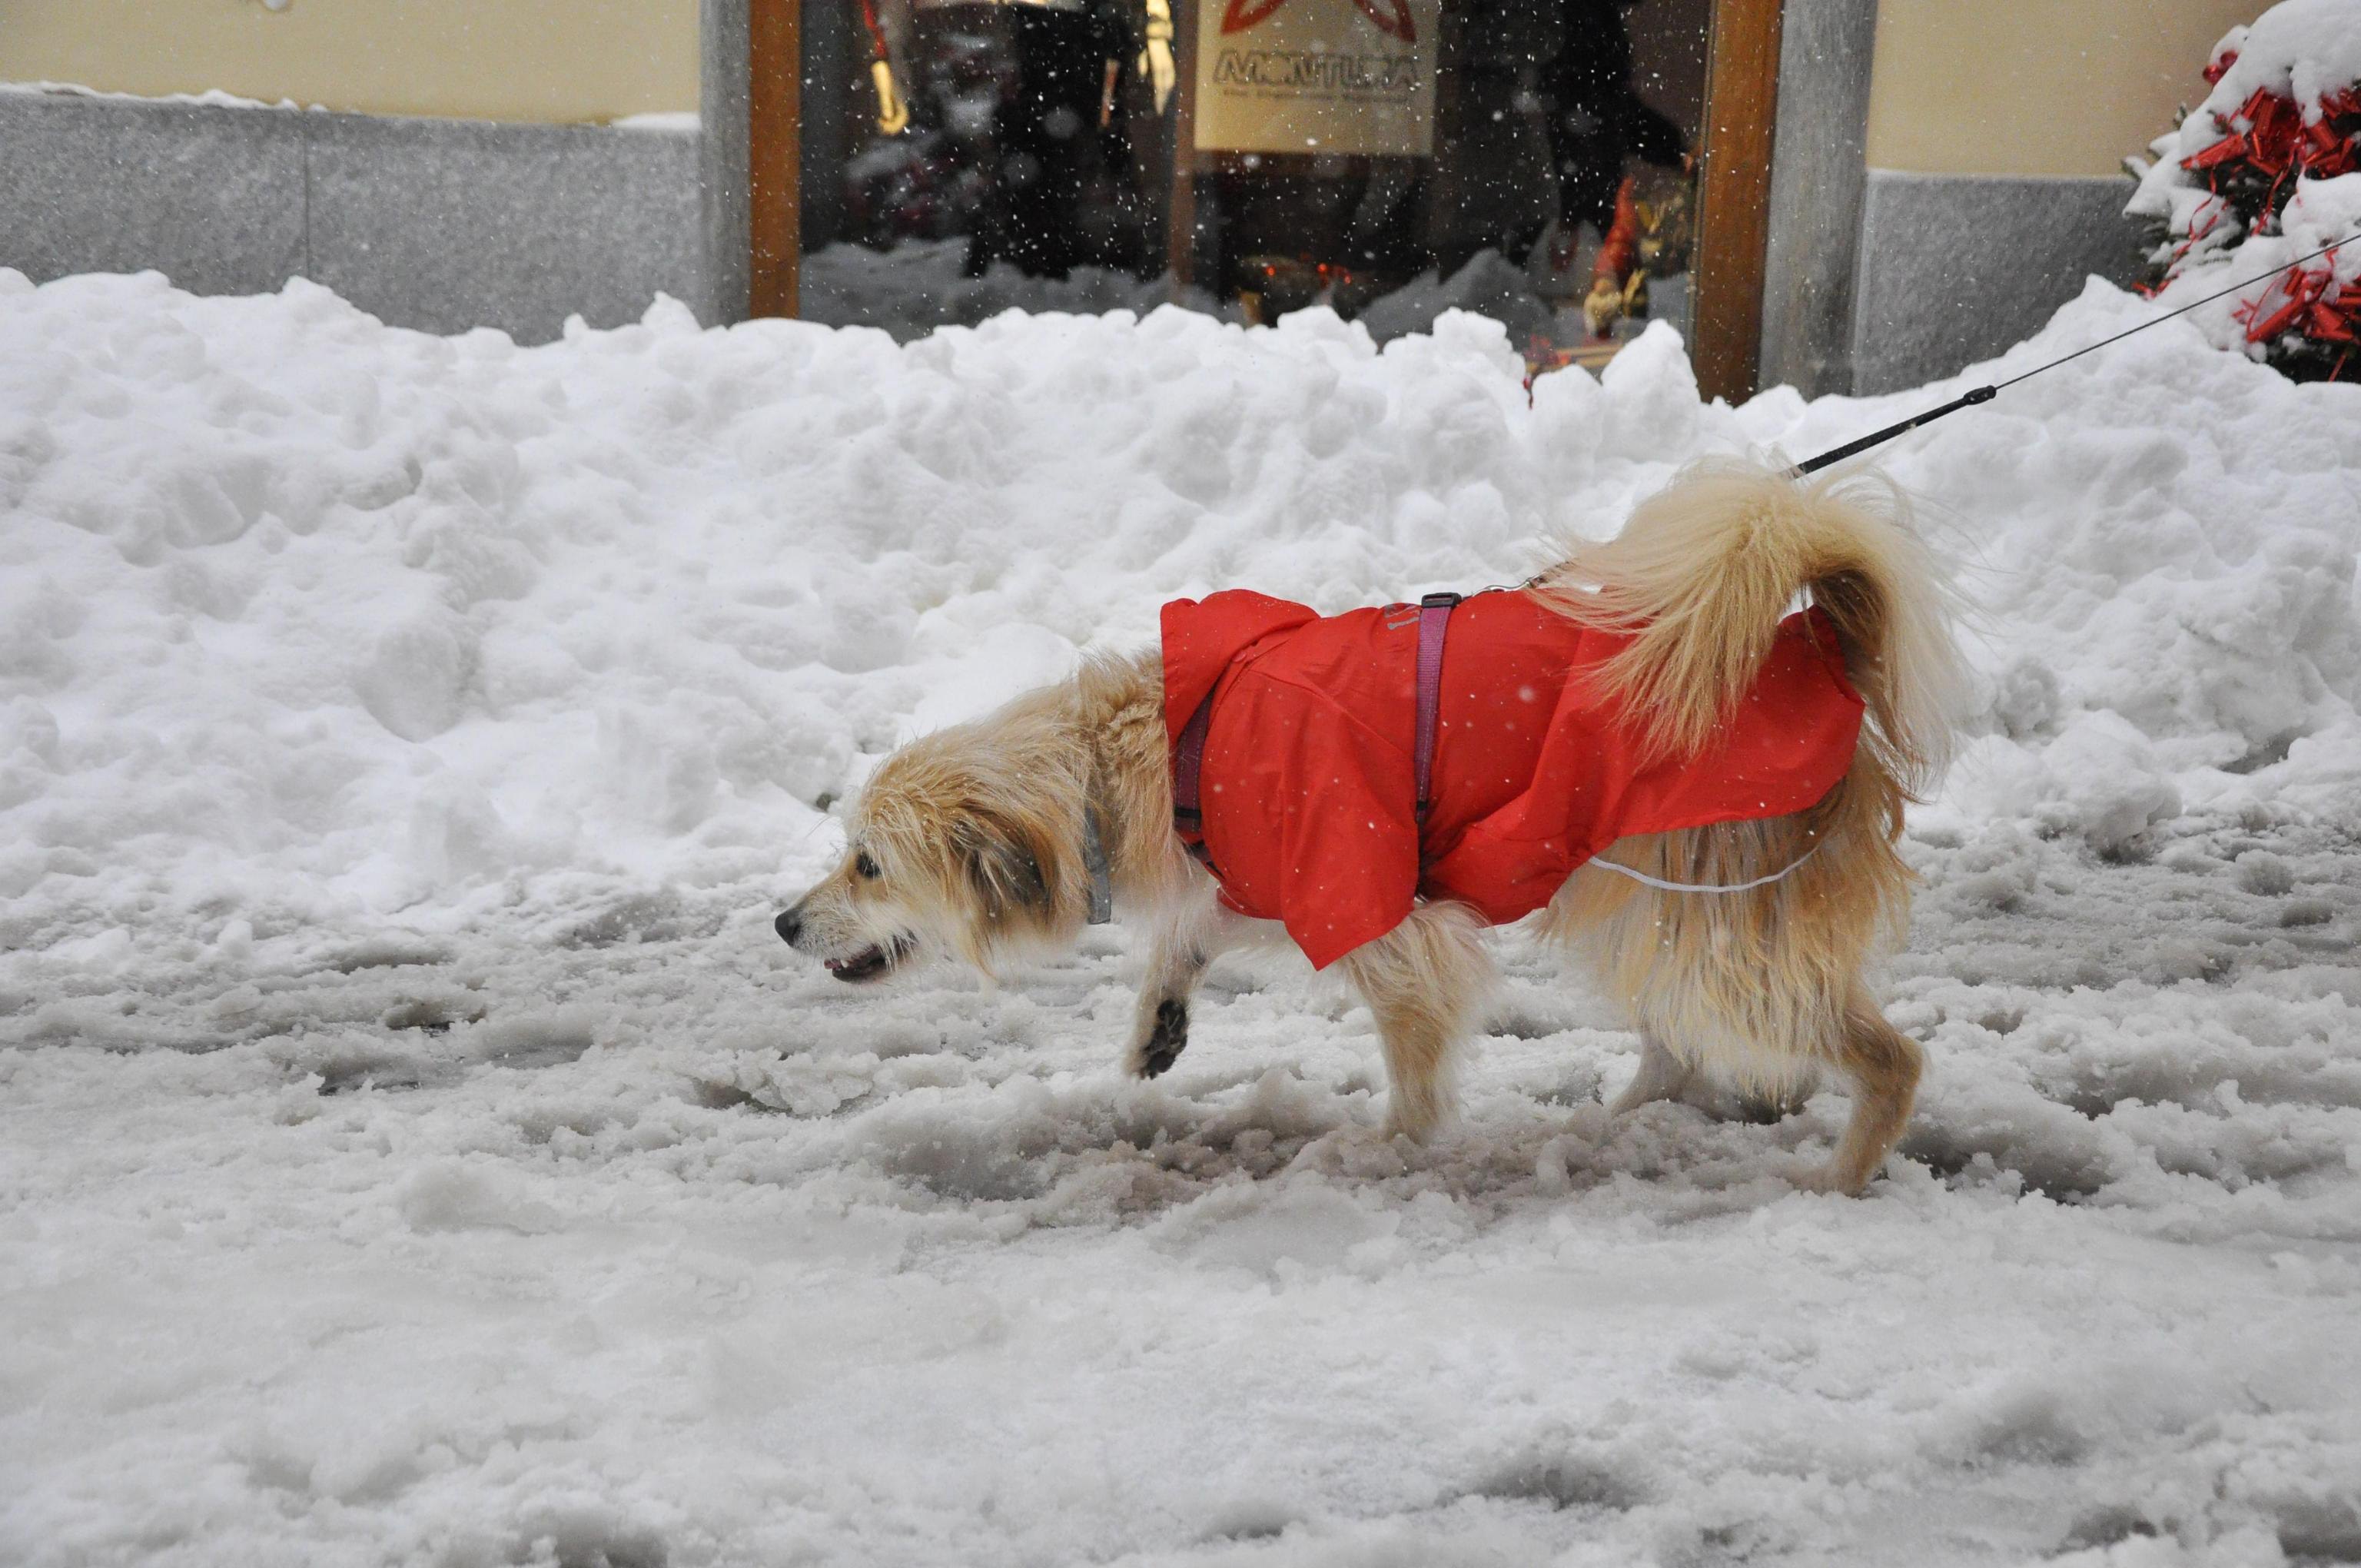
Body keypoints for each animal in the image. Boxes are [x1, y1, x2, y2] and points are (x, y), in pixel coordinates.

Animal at [779, 460, 1974, 1194]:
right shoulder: (1257, 875)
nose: (785, 924)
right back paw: (1617, 1119)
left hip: (1717, 924)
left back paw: (1841, 1173)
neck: (1133, 760)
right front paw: (1160, 1014)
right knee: (1679, 1048)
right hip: (1650, 909)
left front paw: (1392, 1148)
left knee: (1888, 1056)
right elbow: (1194, 935)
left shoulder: (1366, 895)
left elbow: (1411, 1042)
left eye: (869, 864)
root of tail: (1818, 648)